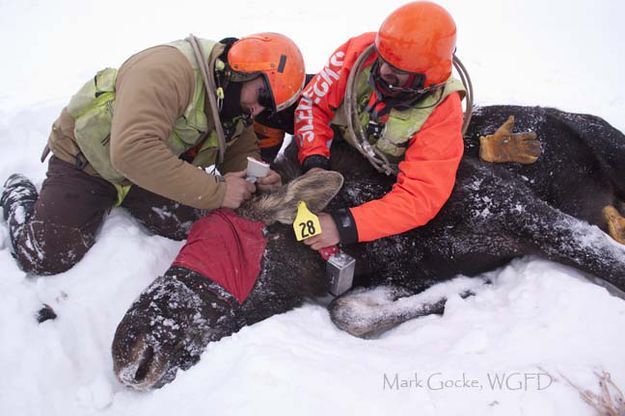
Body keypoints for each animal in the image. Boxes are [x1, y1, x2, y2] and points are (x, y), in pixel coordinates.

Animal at [111, 104, 624, 390]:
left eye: (226, 247)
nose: (129, 353)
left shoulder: (515, 205)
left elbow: (608, 260)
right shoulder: (403, 273)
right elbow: (349, 312)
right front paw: (467, 289)